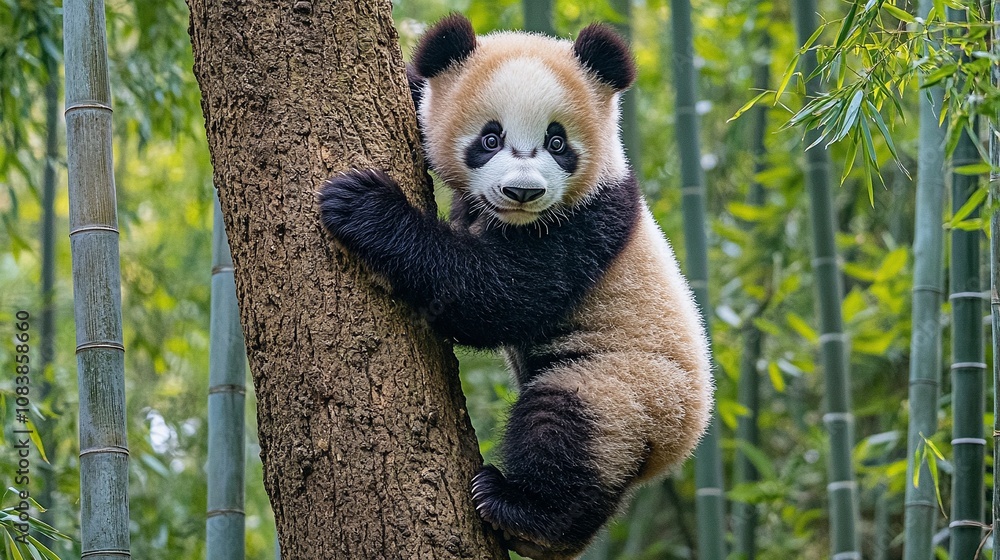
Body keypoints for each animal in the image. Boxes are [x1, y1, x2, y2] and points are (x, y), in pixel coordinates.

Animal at [319, 14, 712, 560]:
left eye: (557, 142)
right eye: (490, 138)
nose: (522, 191)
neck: (514, 220)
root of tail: (677, 444)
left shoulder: (585, 226)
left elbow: (495, 295)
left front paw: (363, 207)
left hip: (629, 383)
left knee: (565, 425)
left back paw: (524, 514)